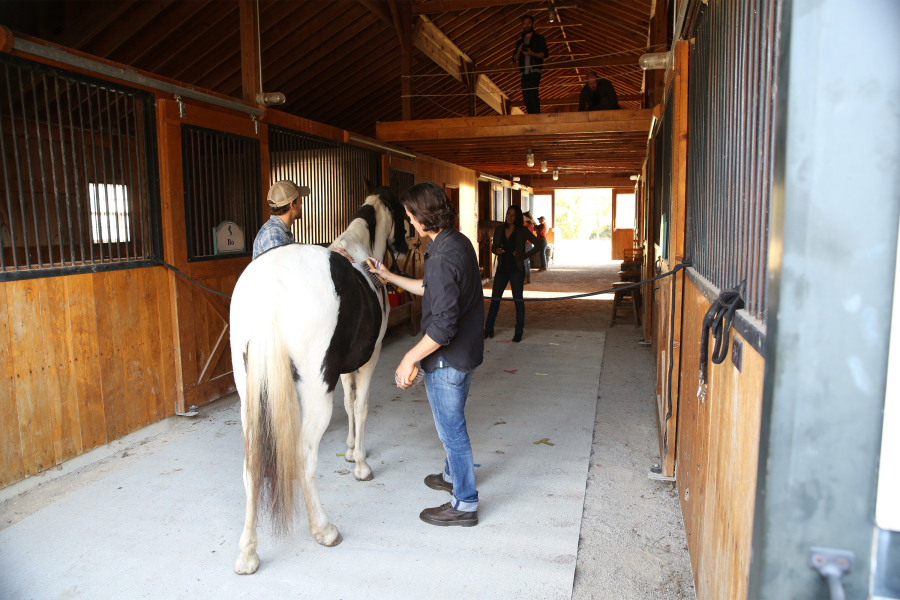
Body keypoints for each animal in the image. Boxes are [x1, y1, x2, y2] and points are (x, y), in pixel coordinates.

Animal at [229, 185, 408, 576]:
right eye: (403, 213)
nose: (406, 247)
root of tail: (270, 285)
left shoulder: (343, 368)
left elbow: (350, 404)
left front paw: (351, 450)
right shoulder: (369, 358)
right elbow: (361, 406)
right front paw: (361, 465)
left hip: (250, 398)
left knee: (250, 466)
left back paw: (247, 554)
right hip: (314, 394)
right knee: (303, 457)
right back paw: (324, 529)